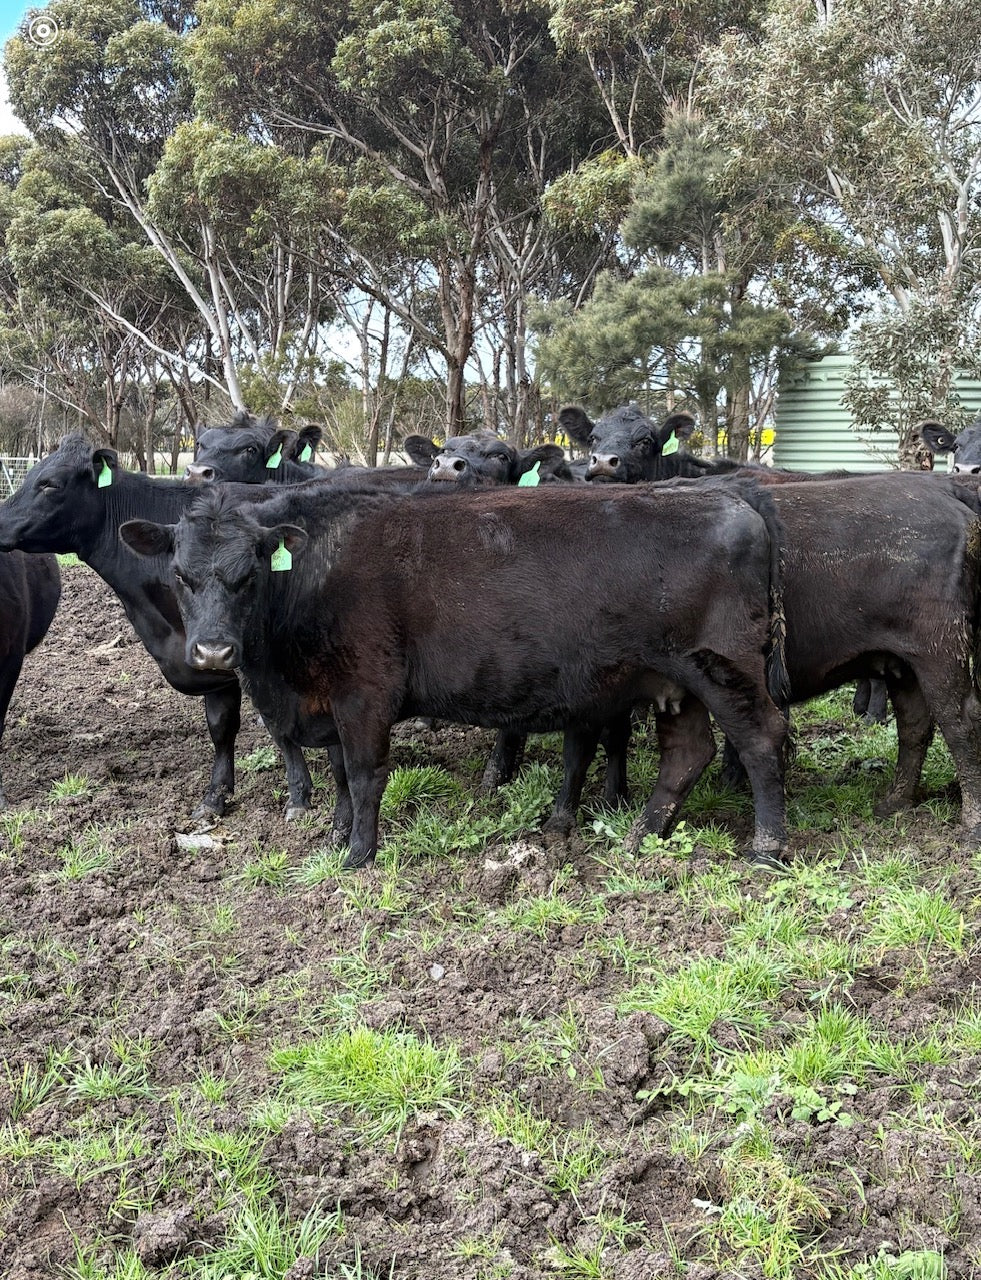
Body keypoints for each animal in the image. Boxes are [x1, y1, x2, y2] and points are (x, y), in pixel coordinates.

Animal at [0, 435, 319, 819]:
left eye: (50, 484)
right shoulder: (208, 659)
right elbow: (221, 728)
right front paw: (214, 798)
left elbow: (278, 723)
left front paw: (299, 797)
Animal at [120, 482, 790, 870]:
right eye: (179, 573)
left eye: (250, 571)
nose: (212, 652)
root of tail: (738, 503)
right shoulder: (328, 701)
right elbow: (337, 775)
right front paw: (336, 835)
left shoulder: (364, 692)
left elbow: (363, 775)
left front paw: (358, 853)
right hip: (673, 682)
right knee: (689, 753)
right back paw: (642, 837)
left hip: (724, 669)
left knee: (762, 741)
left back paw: (766, 850)